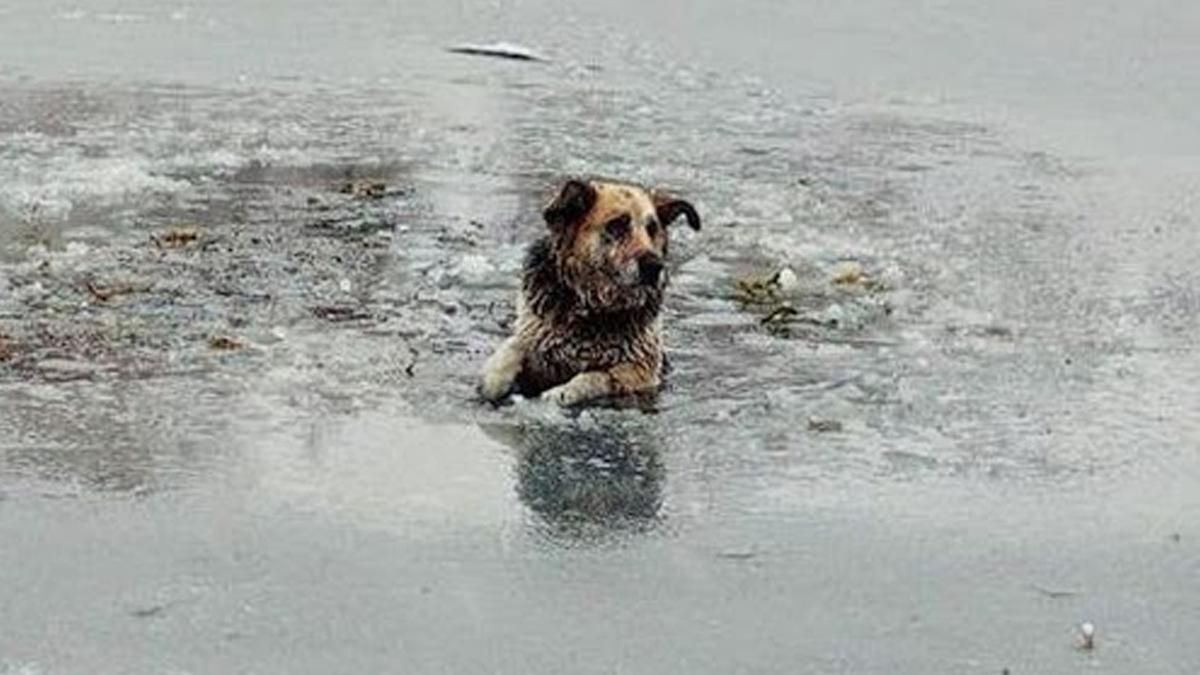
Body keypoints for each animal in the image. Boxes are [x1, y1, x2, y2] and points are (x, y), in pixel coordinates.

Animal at [480, 176, 700, 403]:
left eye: (652, 229)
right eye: (617, 225)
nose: (654, 267)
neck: (590, 308)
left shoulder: (640, 370)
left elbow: (596, 376)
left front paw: (563, 391)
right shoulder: (535, 341)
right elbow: (512, 349)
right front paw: (493, 382)